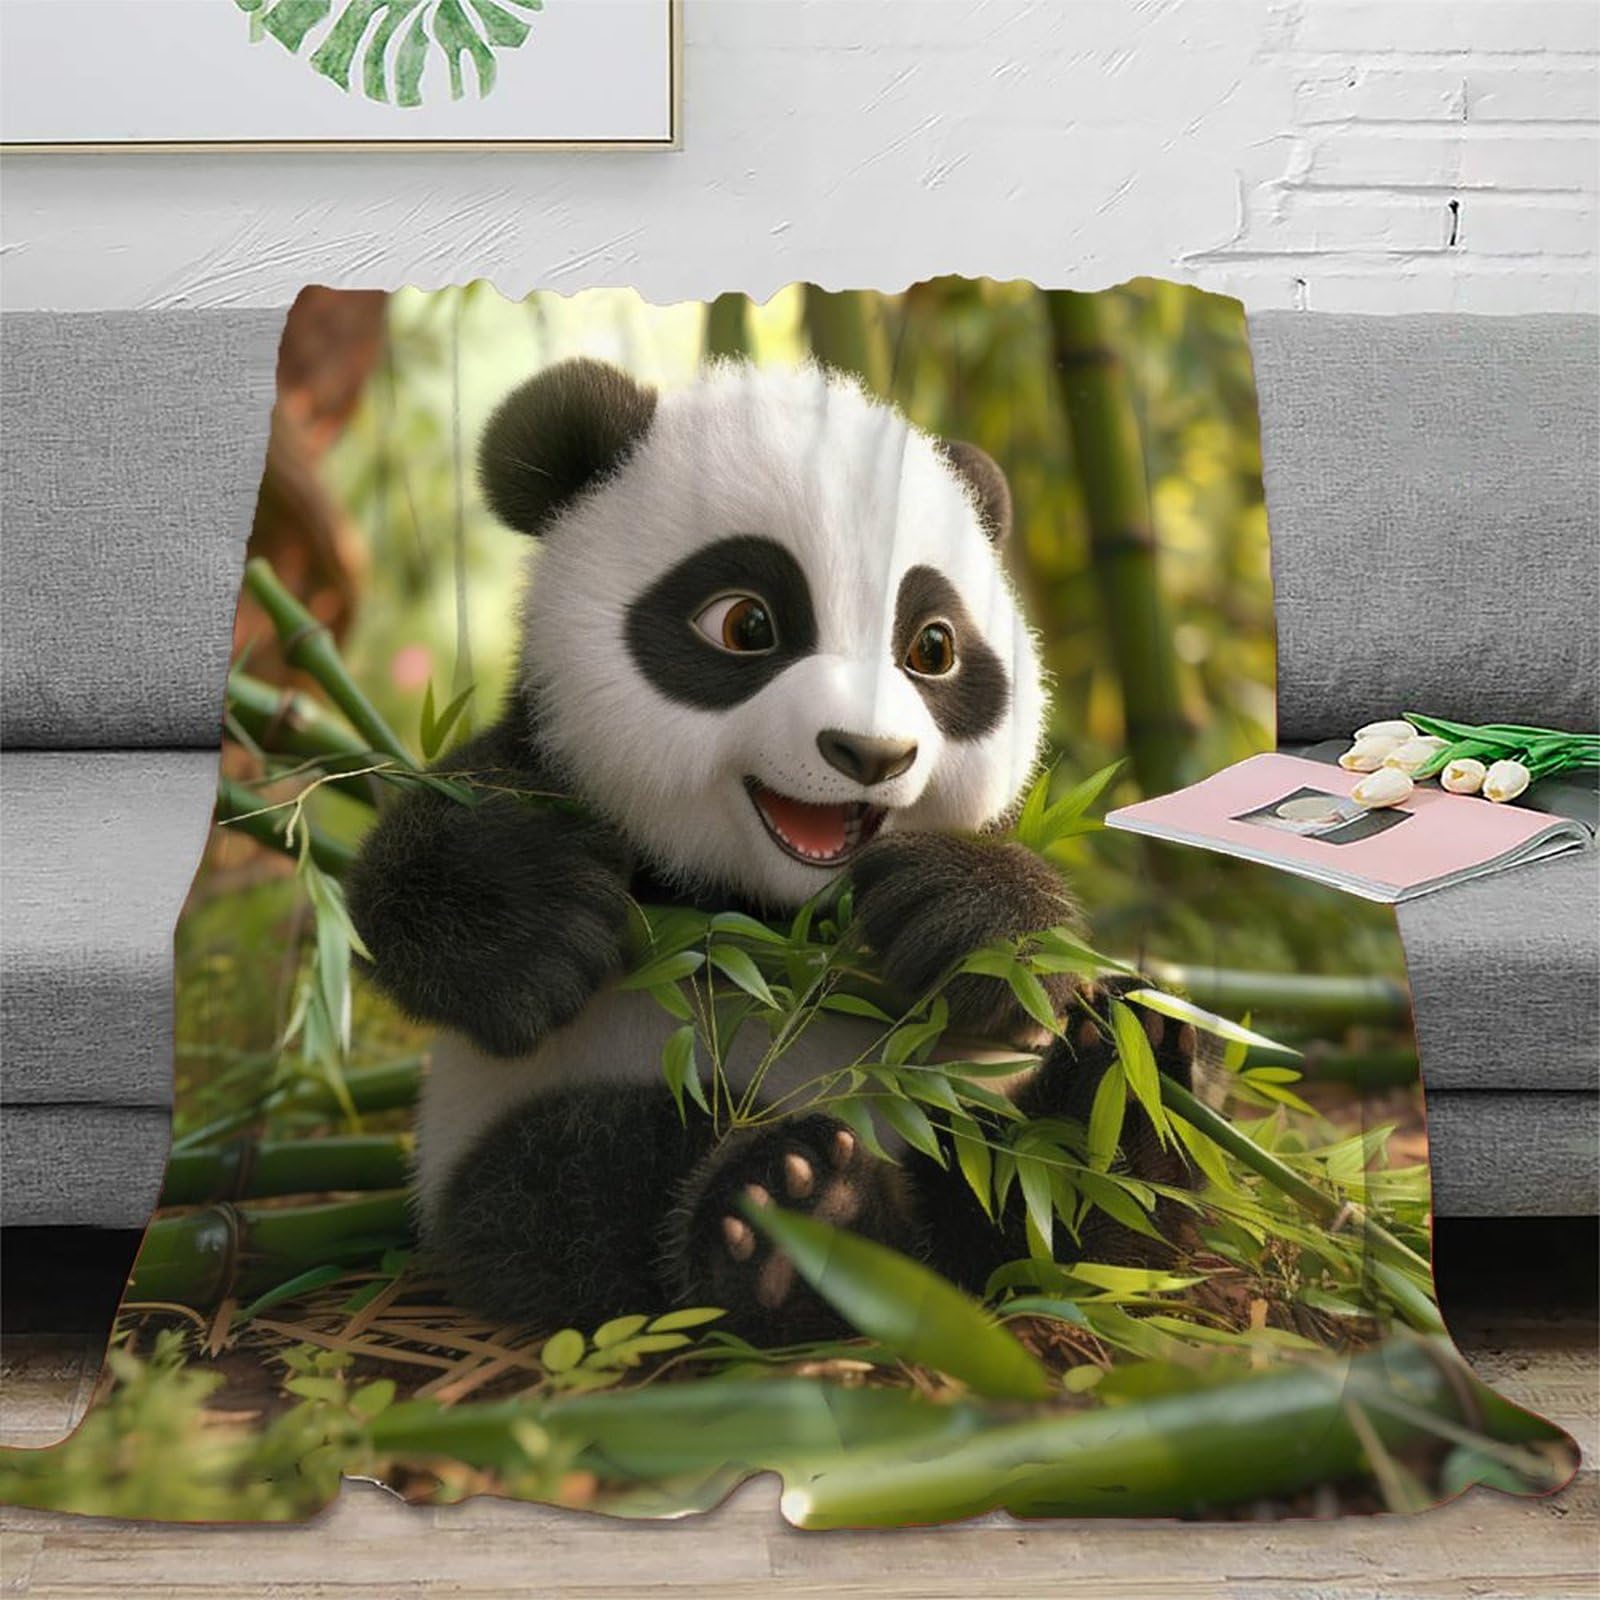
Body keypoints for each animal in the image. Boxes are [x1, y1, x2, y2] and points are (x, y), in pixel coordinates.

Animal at [346, 356, 1199, 1342]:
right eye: (745, 625)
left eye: (932, 648)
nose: (871, 754)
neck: (776, 920)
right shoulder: (539, 770)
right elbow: (410, 891)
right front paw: (542, 929)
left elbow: (1033, 958)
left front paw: (966, 914)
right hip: (516, 1122)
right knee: (567, 1180)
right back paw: (801, 1217)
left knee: (1052, 1178)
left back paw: (1134, 1080)